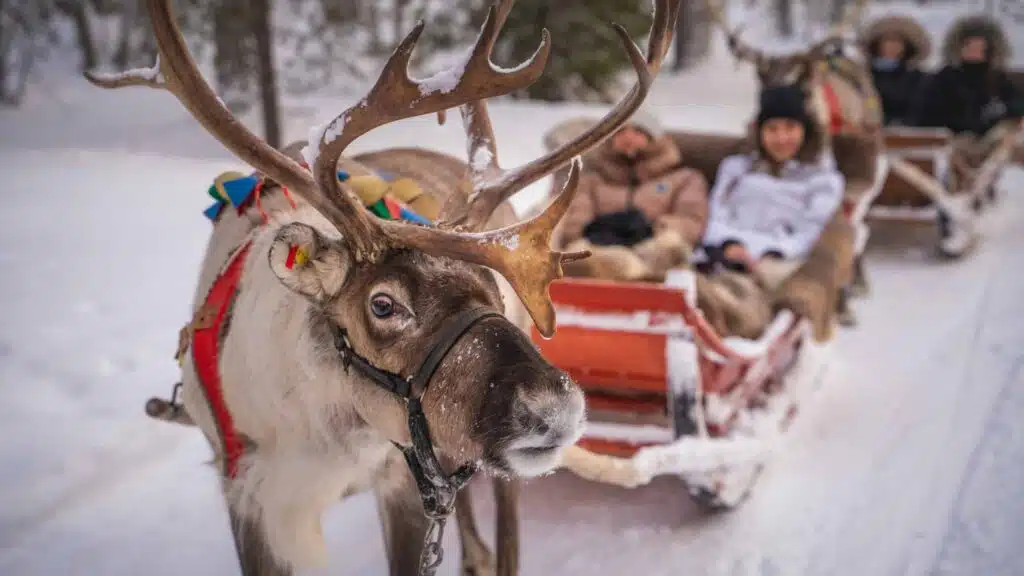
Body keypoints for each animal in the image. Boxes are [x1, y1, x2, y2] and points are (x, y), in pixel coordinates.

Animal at [83, 0, 679, 574]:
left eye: (494, 288)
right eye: (384, 303)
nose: (555, 408)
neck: (320, 435)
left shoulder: (400, 479)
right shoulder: (249, 495)